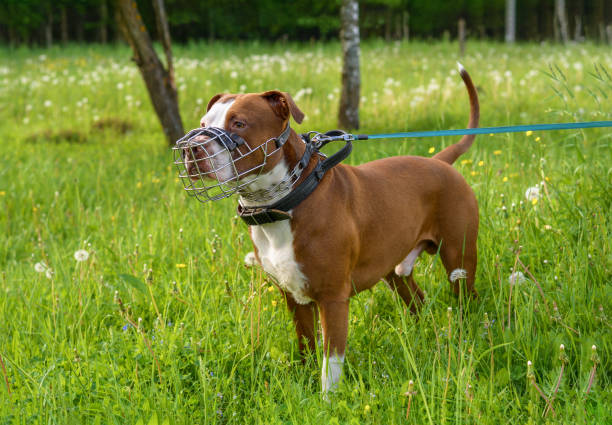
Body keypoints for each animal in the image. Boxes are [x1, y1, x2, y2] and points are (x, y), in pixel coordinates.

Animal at [189, 63, 480, 394]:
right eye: (203, 123)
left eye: (239, 123)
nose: (192, 149)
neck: (282, 203)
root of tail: (439, 161)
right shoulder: (295, 297)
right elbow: (306, 344)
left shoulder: (333, 299)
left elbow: (331, 362)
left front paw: (327, 399)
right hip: (394, 269)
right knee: (416, 300)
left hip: (458, 257)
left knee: (465, 296)